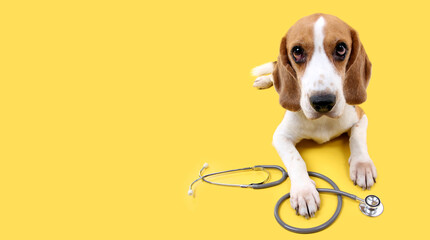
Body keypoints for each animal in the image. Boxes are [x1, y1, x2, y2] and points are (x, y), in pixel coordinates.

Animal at [252, 14, 376, 218]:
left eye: (341, 48)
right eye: (297, 51)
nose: (323, 101)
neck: (323, 121)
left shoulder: (360, 116)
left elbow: (357, 138)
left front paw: (362, 166)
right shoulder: (280, 136)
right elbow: (295, 159)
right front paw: (304, 191)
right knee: (274, 73)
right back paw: (264, 80)